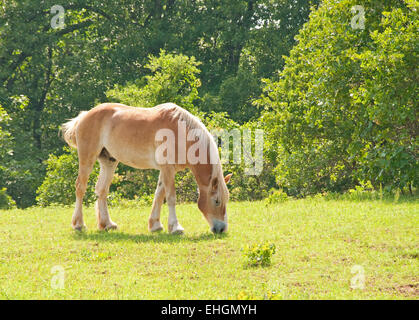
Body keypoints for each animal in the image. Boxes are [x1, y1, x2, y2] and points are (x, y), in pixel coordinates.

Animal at [61, 102, 233, 235]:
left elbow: (159, 195)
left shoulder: (166, 170)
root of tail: (84, 115)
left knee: (101, 190)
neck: (181, 133)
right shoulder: (168, 169)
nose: (221, 229)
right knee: (80, 188)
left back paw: (107, 224)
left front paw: (155, 225)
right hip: (87, 158)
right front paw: (175, 227)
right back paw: (79, 224)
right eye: (217, 201)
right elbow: (171, 197)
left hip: (109, 161)